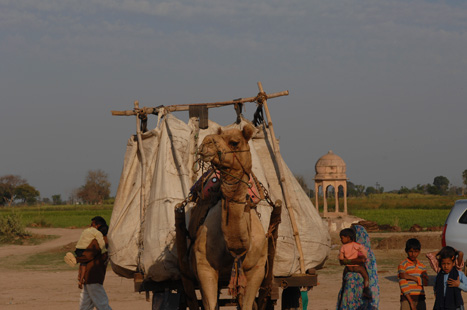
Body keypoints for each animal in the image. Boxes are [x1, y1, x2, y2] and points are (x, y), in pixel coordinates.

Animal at [190, 124, 268, 310]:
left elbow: (247, 305)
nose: (206, 142)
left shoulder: (257, 270)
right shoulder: (204, 268)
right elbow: (211, 304)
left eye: (234, 142)